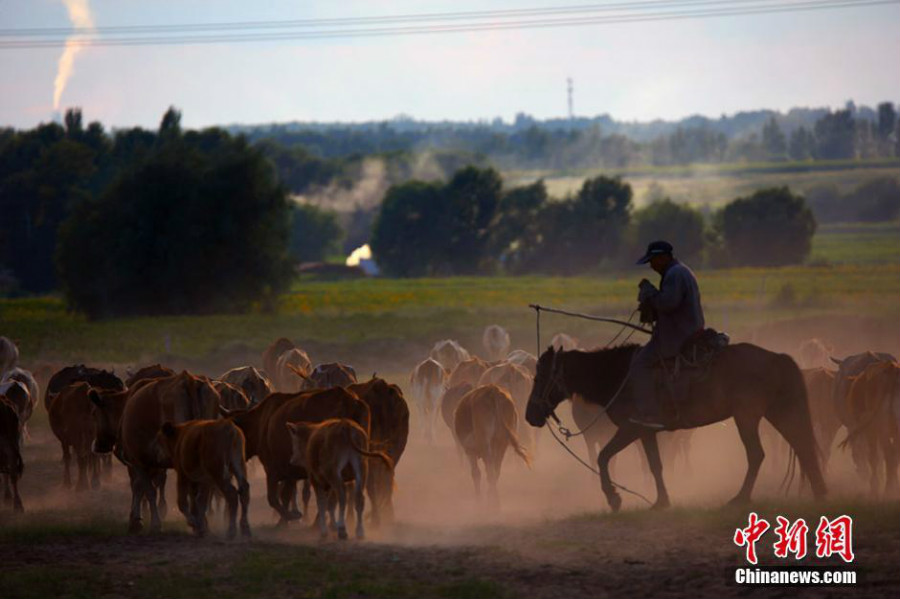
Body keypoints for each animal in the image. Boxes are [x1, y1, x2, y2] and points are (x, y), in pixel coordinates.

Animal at [524, 342, 828, 510]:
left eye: (539, 376)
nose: (529, 416)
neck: (619, 375)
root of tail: (778, 357)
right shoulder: (645, 431)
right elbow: (655, 465)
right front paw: (661, 501)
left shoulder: (630, 429)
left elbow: (603, 457)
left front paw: (613, 498)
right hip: (779, 411)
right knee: (803, 446)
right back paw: (819, 494)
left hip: (747, 417)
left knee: (757, 454)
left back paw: (740, 498)